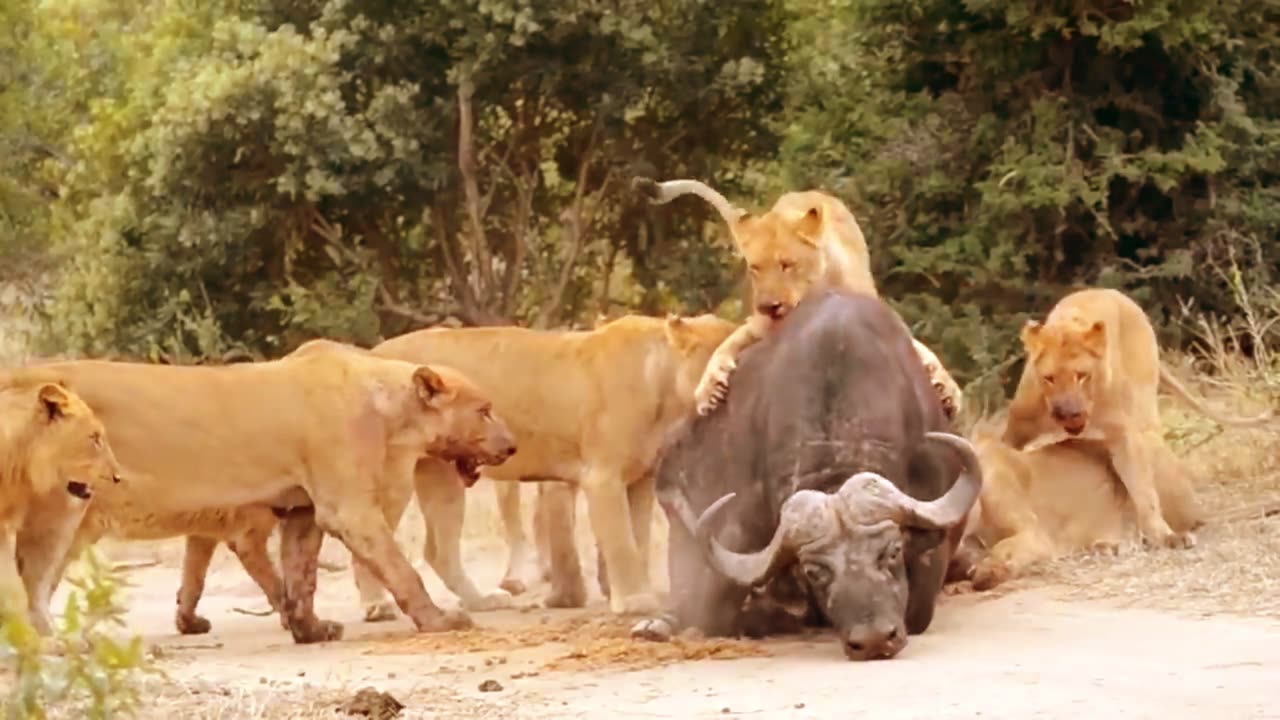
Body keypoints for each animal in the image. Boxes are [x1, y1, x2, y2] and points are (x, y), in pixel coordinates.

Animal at [353, 310, 742, 617]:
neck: (665, 389)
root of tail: (370, 354)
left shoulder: (641, 479)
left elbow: (640, 539)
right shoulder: (603, 477)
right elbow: (622, 542)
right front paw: (635, 602)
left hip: (440, 474)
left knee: (438, 550)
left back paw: (482, 602)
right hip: (396, 476)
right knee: (368, 537)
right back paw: (377, 605)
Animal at [629, 175, 962, 417]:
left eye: (787, 265)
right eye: (755, 268)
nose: (768, 306)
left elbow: (919, 348)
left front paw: (947, 390)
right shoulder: (759, 326)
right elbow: (727, 345)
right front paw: (709, 387)